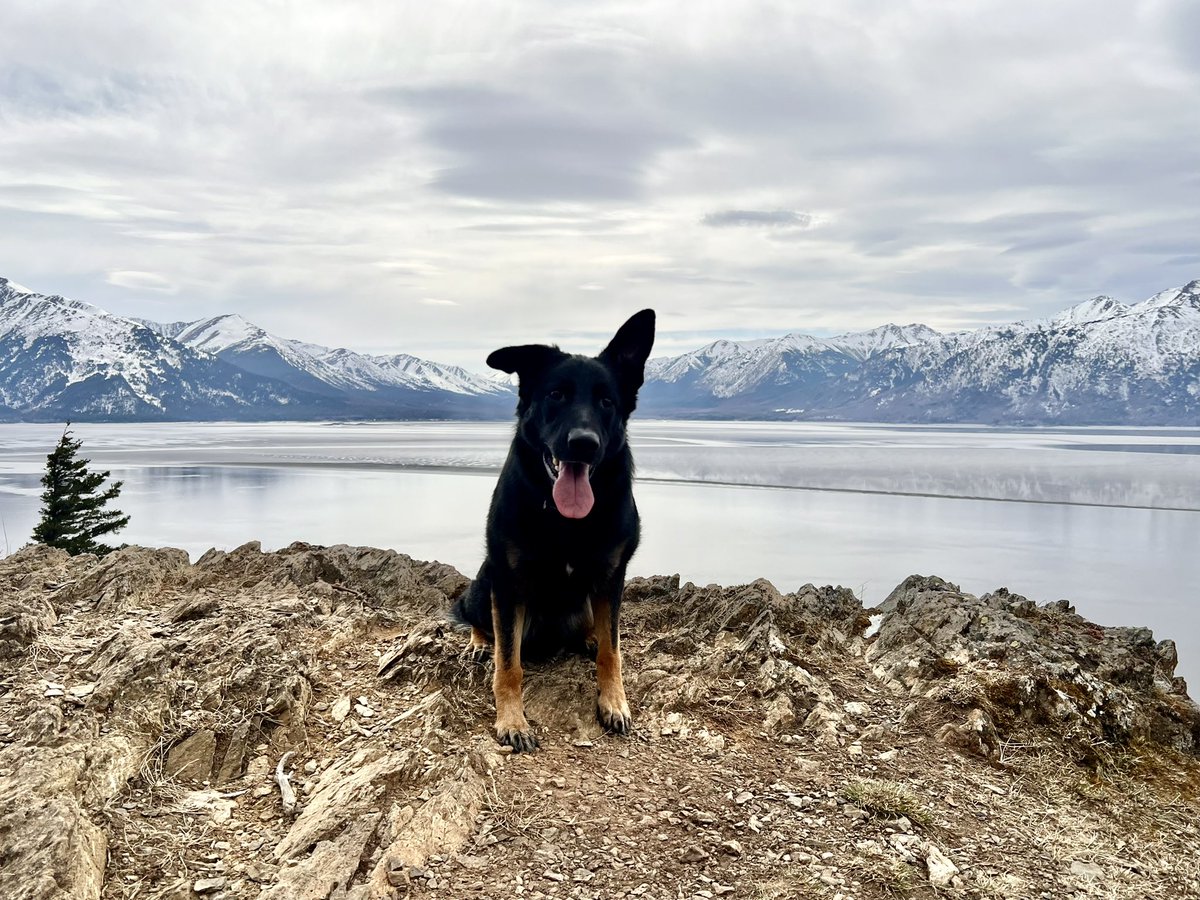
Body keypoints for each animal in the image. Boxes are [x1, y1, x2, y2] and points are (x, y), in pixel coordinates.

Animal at [451, 309, 657, 753]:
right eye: (556, 395)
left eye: (607, 401)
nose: (583, 443)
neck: (566, 522)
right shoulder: (507, 582)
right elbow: (508, 665)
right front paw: (512, 720)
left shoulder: (612, 577)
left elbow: (613, 651)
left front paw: (614, 700)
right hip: (484, 582)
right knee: (479, 619)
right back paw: (478, 642)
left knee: (598, 629)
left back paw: (590, 637)